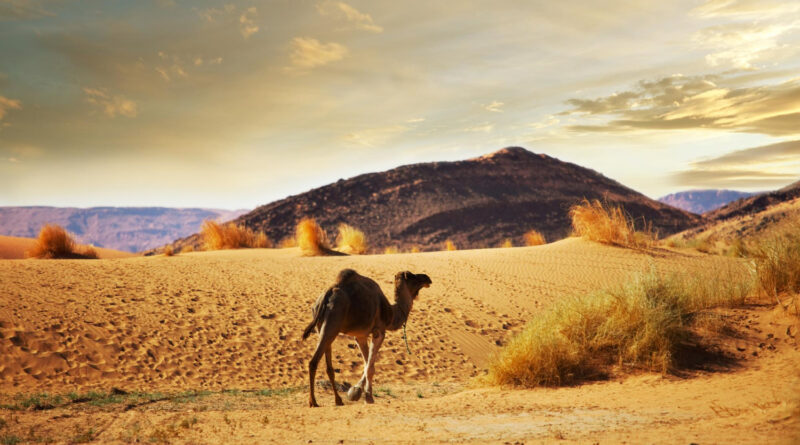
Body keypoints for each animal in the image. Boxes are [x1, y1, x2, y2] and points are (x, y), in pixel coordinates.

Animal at [304, 268, 434, 406]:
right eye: (411, 275)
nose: (427, 278)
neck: (391, 314)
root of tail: (326, 296)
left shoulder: (360, 336)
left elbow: (367, 363)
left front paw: (356, 392)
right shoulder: (379, 332)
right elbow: (370, 367)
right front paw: (368, 397)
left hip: (321, 326)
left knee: (328, 365)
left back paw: (338, 400)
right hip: (332, 323)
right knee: (313, 362)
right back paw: (313, 402)